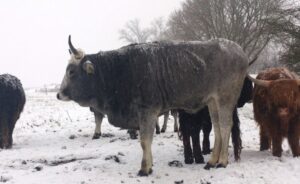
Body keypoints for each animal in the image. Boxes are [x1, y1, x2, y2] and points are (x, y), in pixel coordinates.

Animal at [56, 36, 248, 175]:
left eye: (71, 71)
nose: (59, 94)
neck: (120, 70)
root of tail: (238, 49)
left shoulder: (147, 111)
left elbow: (144, 141)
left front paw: (145, 168)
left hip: (225, 99)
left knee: (225, 126)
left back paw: (222, 161)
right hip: (212, 102)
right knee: (217, 127)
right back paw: (212, 160)